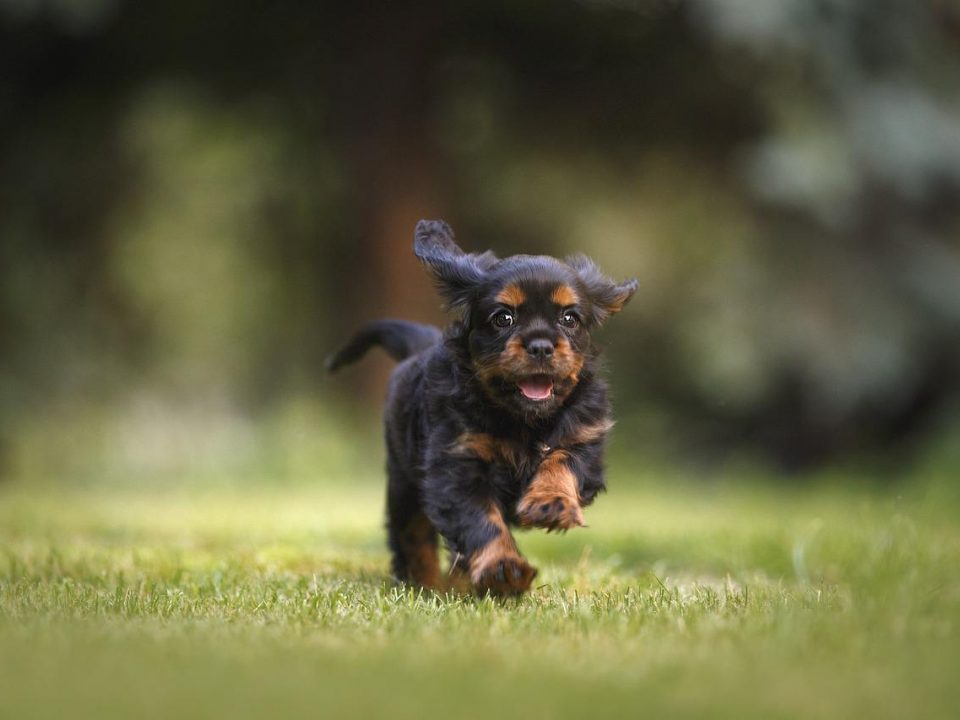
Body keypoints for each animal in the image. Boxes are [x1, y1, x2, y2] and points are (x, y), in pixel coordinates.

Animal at [330, 219, 636, 596]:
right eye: (503, 318)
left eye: (570, 319)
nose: (540, 346)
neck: (523, 420)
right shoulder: (457, 465)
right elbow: (480, 521)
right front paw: (503, 569)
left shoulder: (585, 438)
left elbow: (561, 461)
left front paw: (550, 503)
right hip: (404, 482)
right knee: (412, 536)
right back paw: (427, 584)